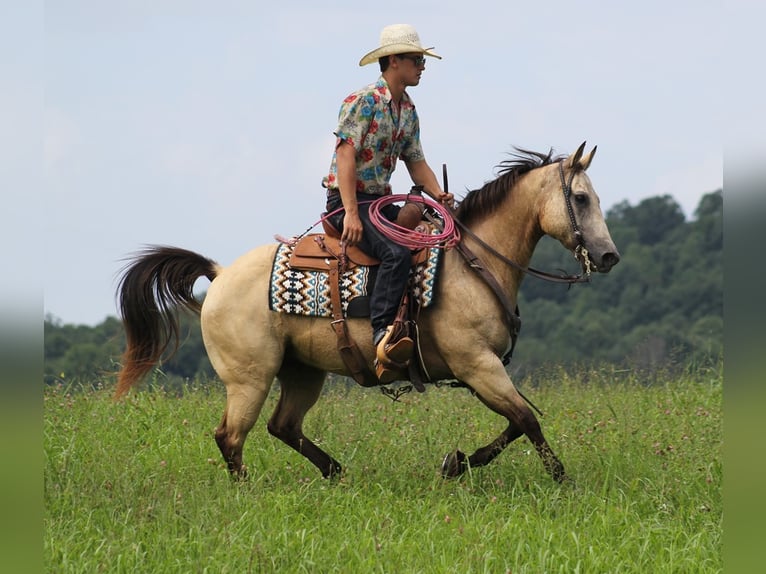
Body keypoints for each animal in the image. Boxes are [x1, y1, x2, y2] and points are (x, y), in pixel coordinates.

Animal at [115, 142, 624, 484]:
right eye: (581, 198)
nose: (608, 257)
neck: (473, 263)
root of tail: (219, 274)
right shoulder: (477, 365)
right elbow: (526, 420)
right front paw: (559, 477)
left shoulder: (483, 372)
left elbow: (515, 424)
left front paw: (458, 463)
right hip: (249, 379)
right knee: (231, 437)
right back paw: (249, 491)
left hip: (302, 372)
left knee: (283, 426)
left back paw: (336, 472)